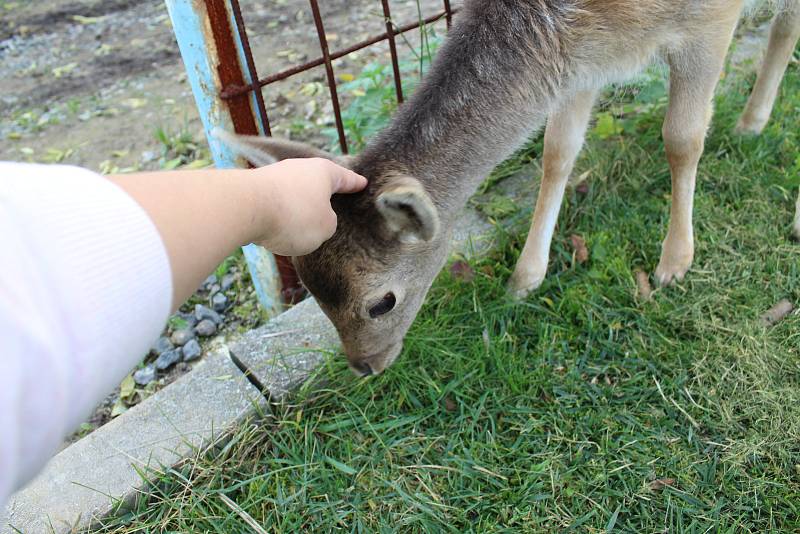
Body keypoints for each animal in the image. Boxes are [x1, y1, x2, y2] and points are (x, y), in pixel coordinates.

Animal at [223, 1, 800, 376]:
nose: (363, 366)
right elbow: (557, 152)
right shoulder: (584, 62)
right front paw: (525, 278)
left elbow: (681, 138)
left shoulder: (710, 22)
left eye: (382, 302)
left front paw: (674, 262)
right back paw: (751, 123)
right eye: (309, 286)